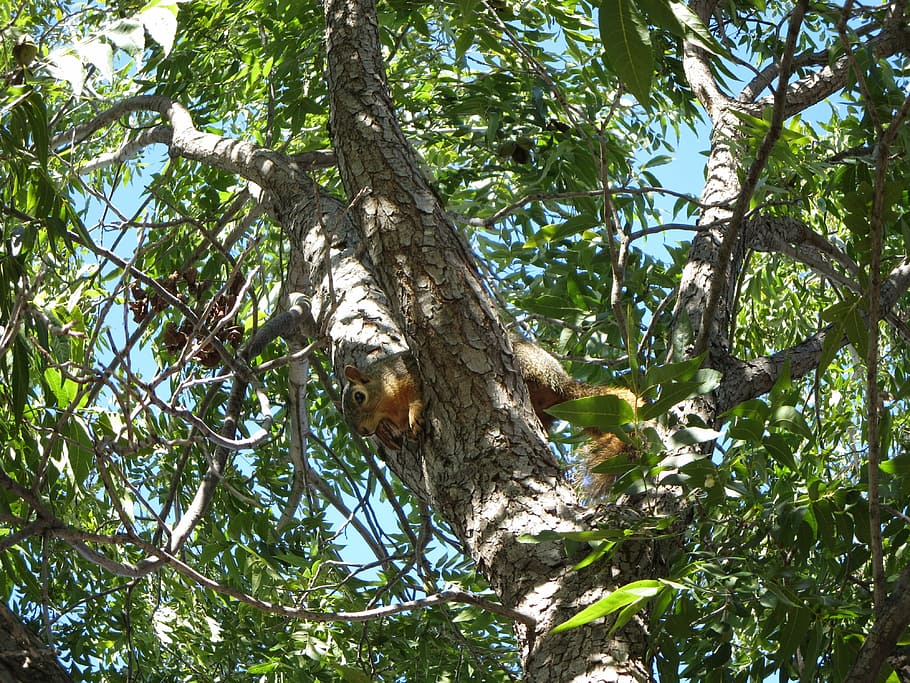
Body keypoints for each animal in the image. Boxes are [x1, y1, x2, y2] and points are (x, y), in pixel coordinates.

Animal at [341, 337, 636, 496]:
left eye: (359, 397)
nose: (364, 432)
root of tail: (562, 385)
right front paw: (388, 434)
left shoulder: (409, 371)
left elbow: (417, 397)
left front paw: (414, 416)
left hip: (527, 366)